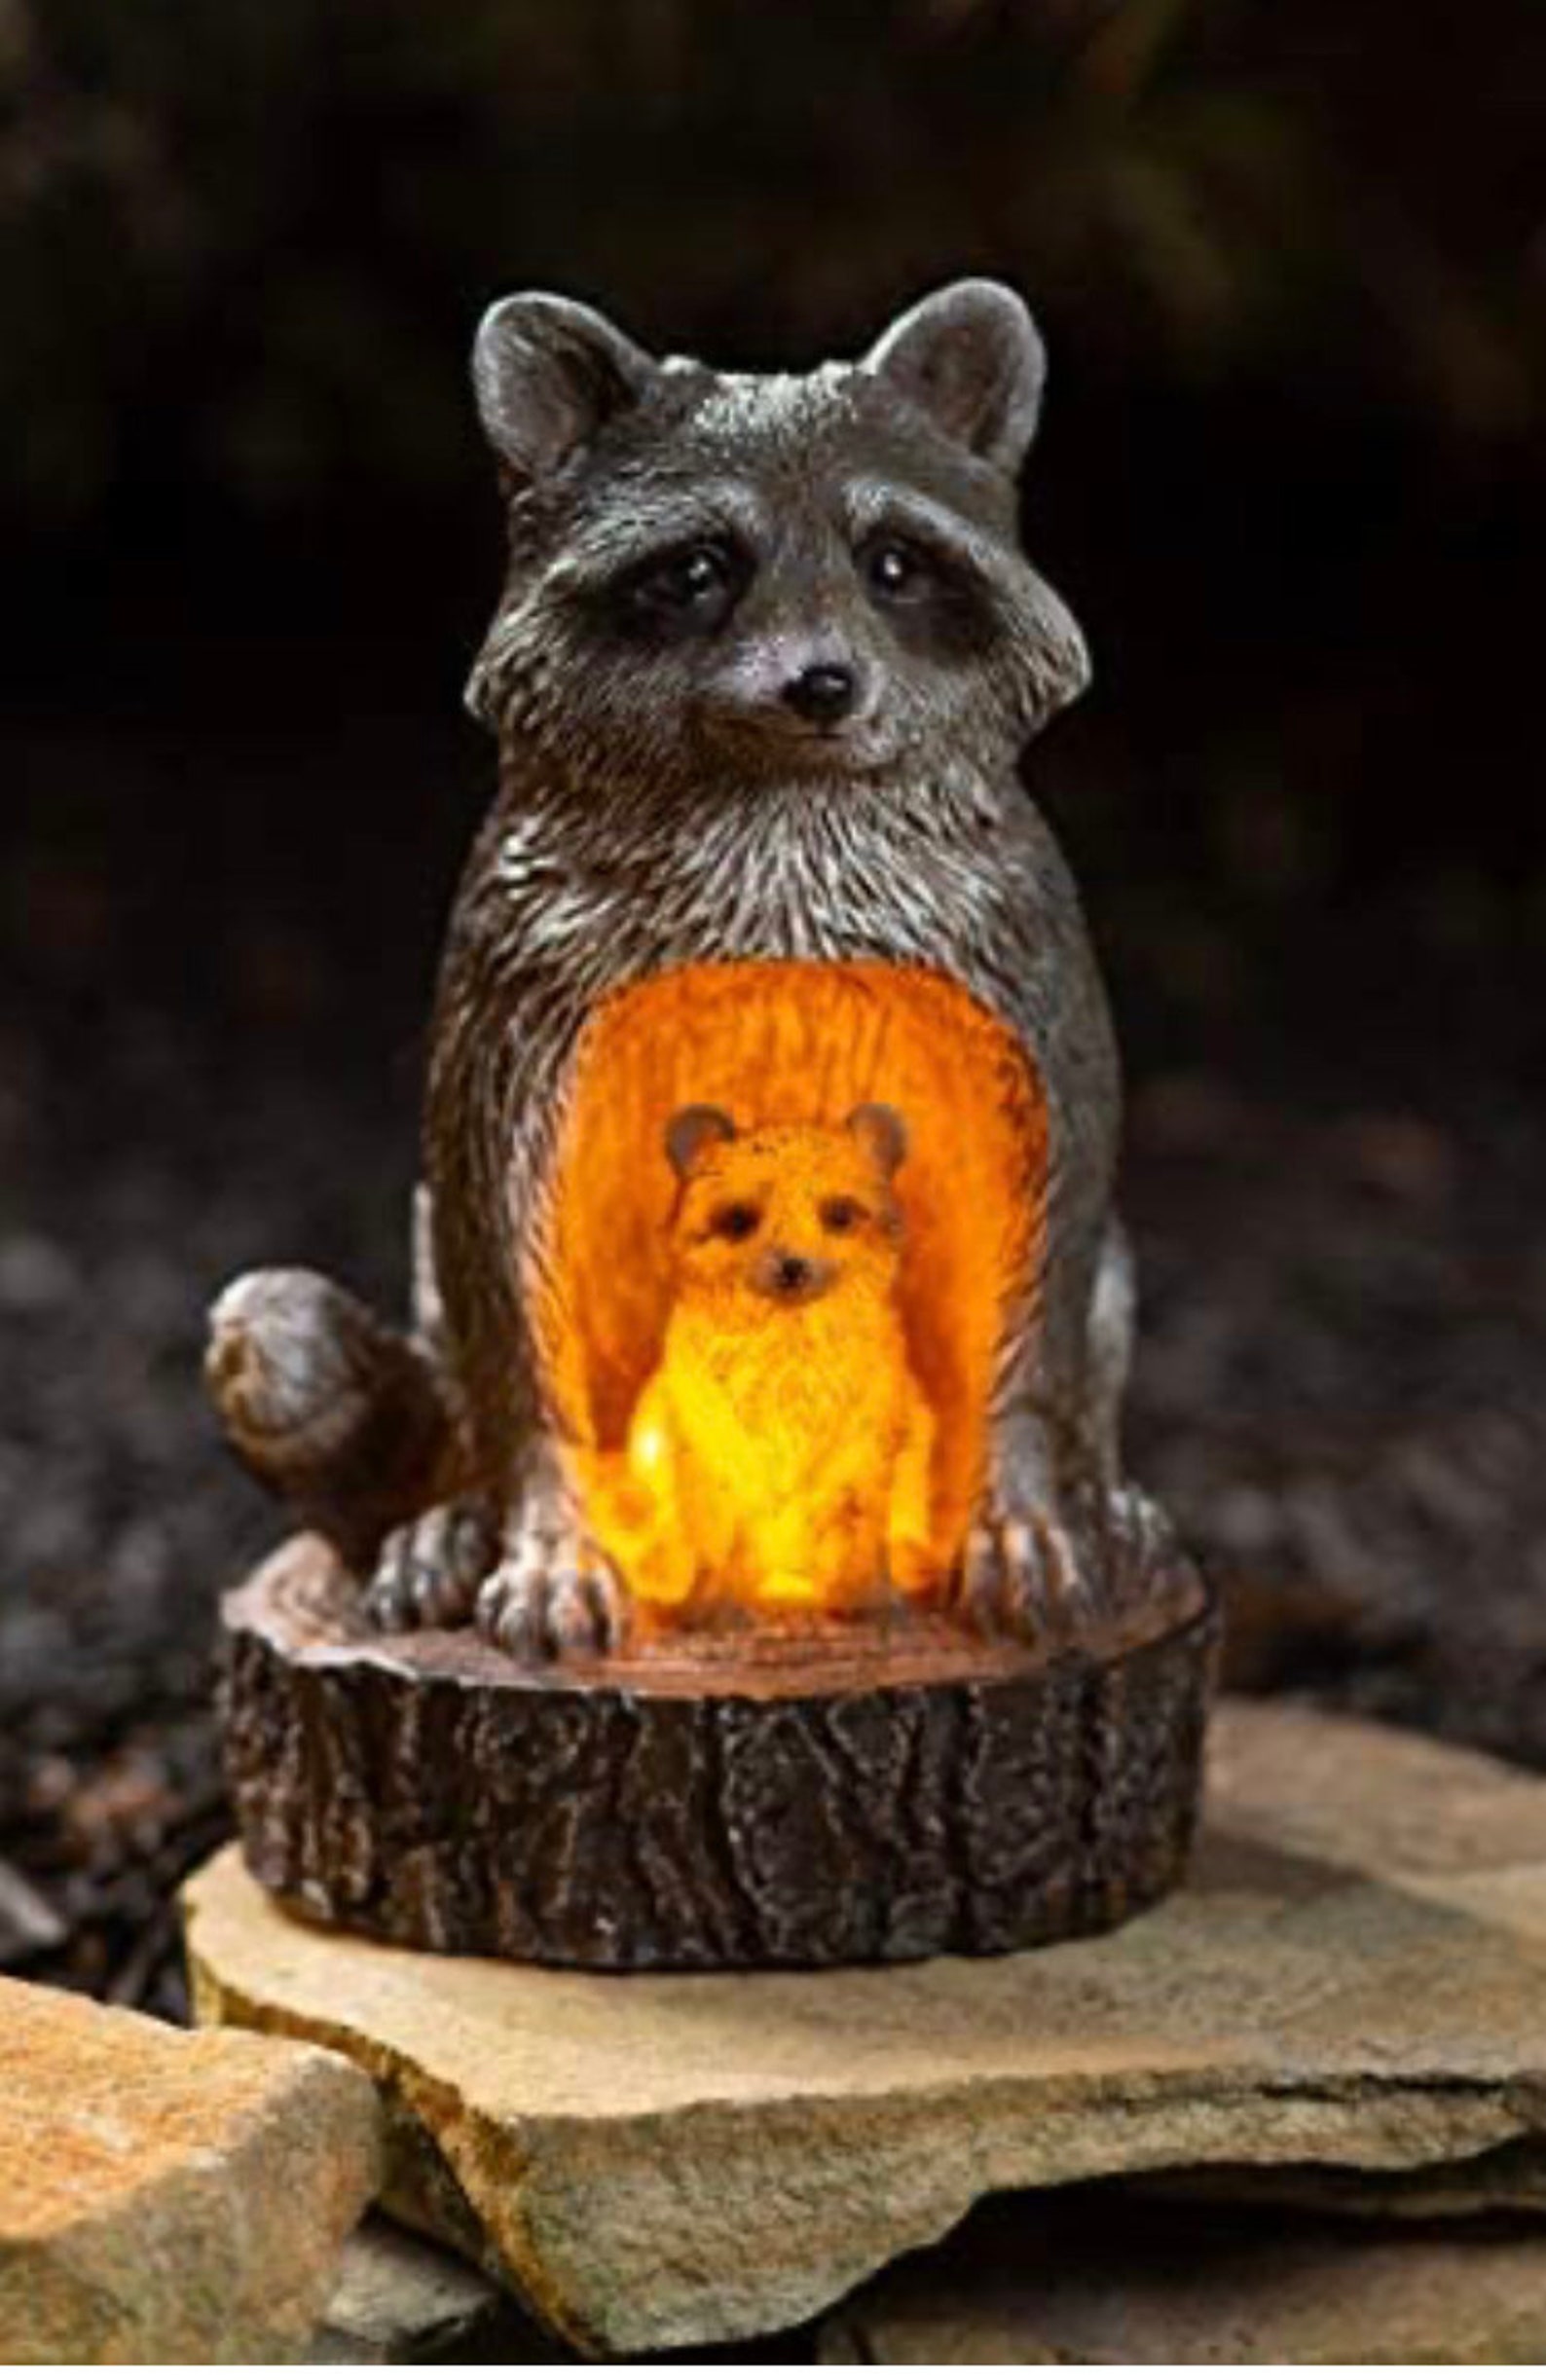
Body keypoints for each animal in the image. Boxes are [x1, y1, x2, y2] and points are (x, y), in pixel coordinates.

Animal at [207, 278, 1141, 1660]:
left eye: (893, 563)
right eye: (698, 569)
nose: (821, 686)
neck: (783, 816)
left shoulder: (1016, 962)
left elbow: (1047, 1259)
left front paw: (1018, 1494)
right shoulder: (518, 984)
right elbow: (507, 1268)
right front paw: (545, 1526)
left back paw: (1101, 1488)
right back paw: (450, 1515)